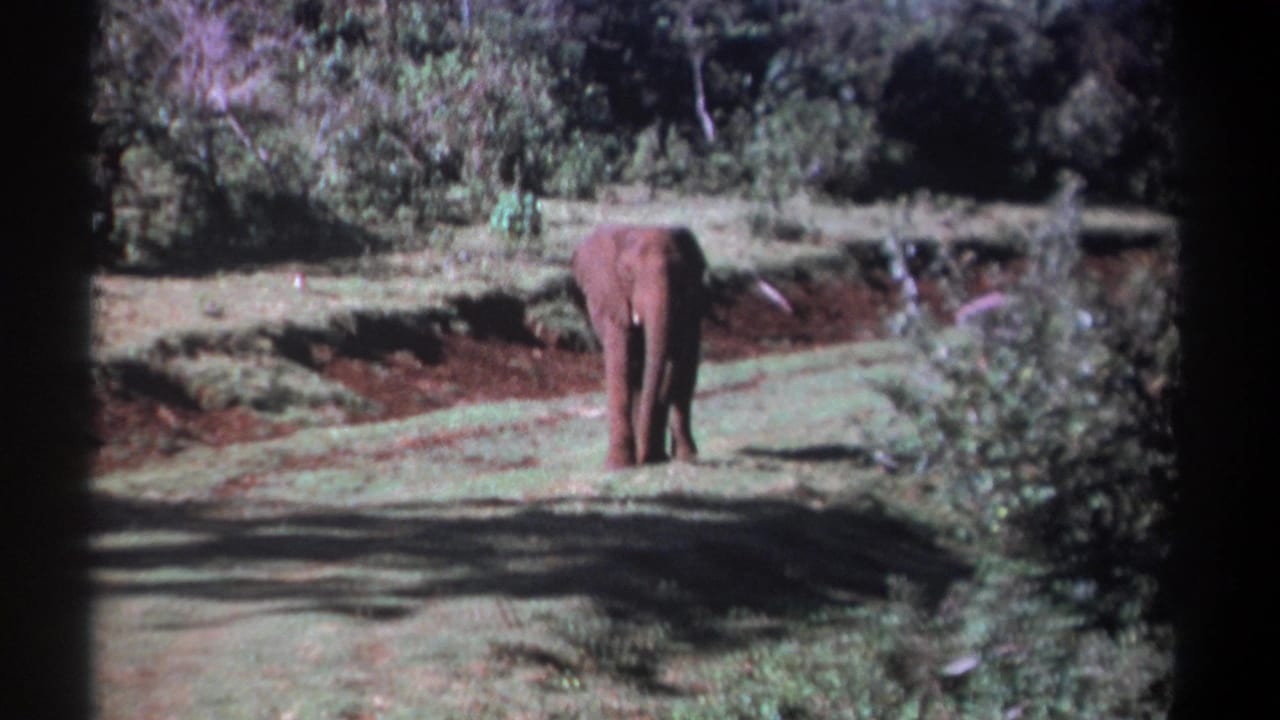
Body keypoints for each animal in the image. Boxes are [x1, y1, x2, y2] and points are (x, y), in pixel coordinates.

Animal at [571, 224, 709, 469]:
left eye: (679, 273)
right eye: (627, 275)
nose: (645, 459)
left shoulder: (691, 303)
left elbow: (682, 362)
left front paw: (672, 456)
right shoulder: (613, 299)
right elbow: (621, 362)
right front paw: (618, 466)